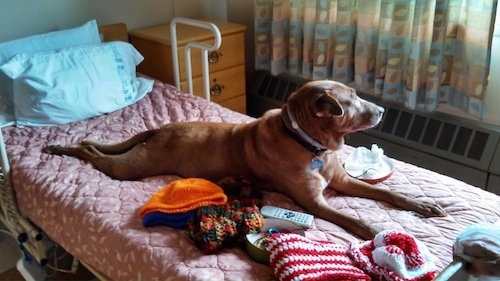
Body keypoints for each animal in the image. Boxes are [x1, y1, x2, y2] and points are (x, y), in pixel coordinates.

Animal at [45, 79, 448, 238]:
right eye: (351, 101)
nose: (382, 111)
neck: (308, 142)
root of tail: (160, 129)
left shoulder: (343, 180)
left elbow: (387, 193)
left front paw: (422, 205)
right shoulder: (314, 203)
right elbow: (356, 220)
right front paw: (382, 233)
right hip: (132, 166)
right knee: (93, 154)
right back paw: (64, 148)